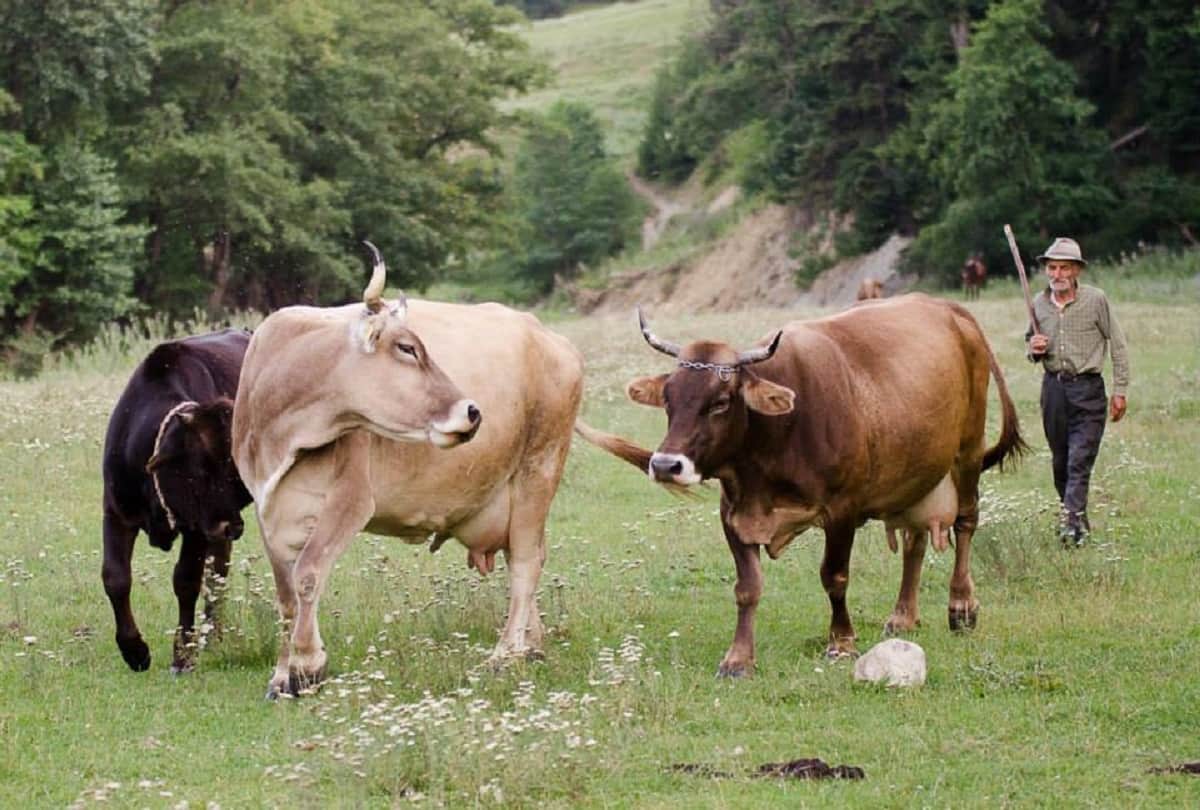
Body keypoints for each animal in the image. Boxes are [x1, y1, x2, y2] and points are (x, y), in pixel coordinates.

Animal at [101, 328, 253, 673]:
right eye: (199, 470)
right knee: (219, 569)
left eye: (233, 469)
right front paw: (134, 650)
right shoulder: (115, 512)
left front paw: (182, 655)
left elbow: (186, 581)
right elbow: (115, 578)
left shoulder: (196, 529)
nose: (233, 526)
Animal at [232, 244, 583, 698]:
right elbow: (287, 594)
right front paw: (281, 675)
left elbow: (308, 575)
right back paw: (531, 646)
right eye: (407, 348)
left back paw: (505, 653)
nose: (472, 412)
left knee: (526, 563)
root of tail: (550, 338)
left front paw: (308, 665)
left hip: (538, 470)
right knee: (524, 557)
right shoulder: (269, 506)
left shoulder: (350, 499)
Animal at [575, 294, 1026, 675]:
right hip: (915, 474)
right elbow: (747, 588)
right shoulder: (732, 513)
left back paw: (961, 606)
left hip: (967, 453)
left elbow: (834, 576)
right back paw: (902, 615)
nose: (667, 465)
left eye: (720, 402)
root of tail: (949, 309)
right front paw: (738, 658)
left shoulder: (842, 510)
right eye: (669, 398)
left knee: (966, 524)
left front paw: (841, 642)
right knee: (914, 542)